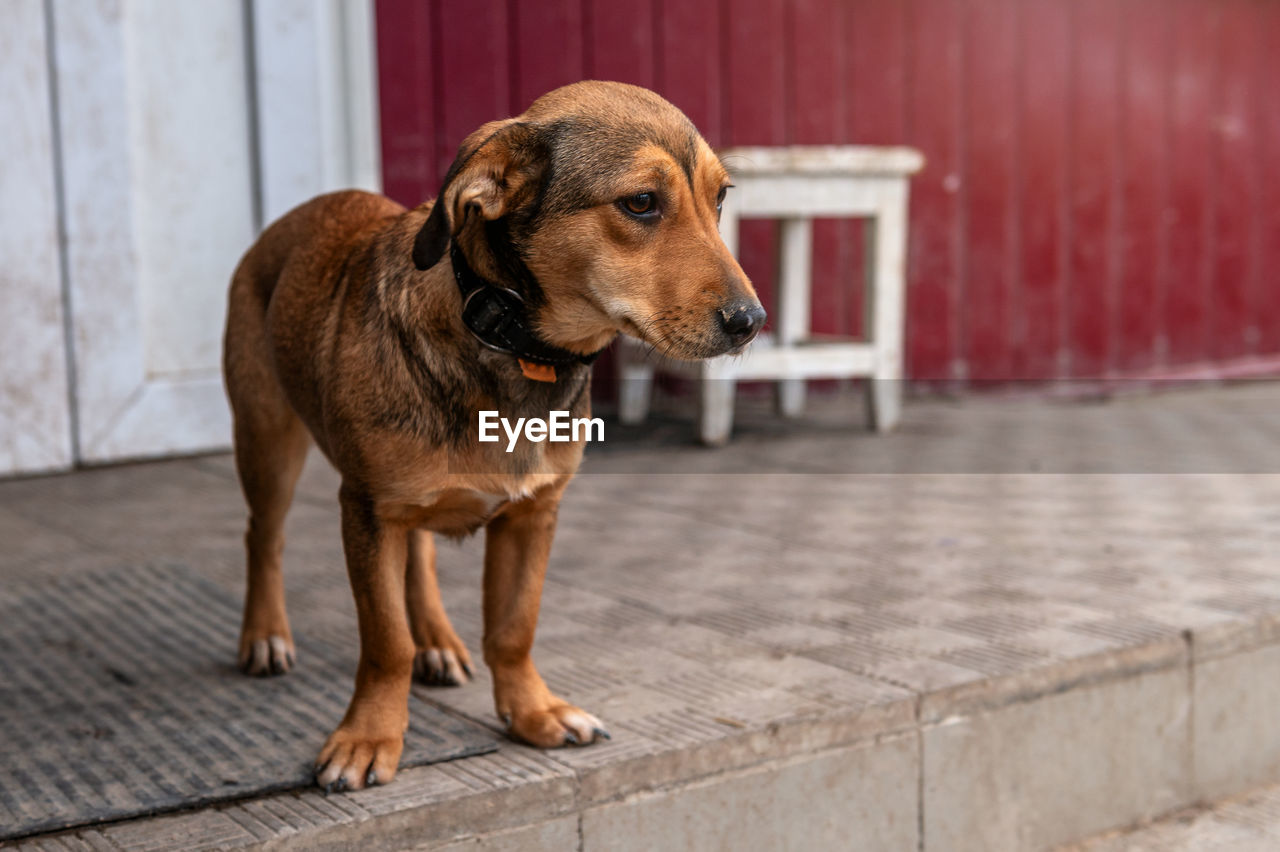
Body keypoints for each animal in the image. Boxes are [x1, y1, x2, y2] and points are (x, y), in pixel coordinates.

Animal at [222, 81, 757, 788]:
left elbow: (513, 628)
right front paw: (369, 738)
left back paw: (437, 640)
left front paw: (533, 714)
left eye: (720, 198)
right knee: (263, 535)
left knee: (418, 555)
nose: (752, 321)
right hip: (266, 439)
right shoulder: (368, 510)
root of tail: (296, 215)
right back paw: (265, 636)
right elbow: (384, 641)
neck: (513, 346)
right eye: (641, 203)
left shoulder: (532, 514)